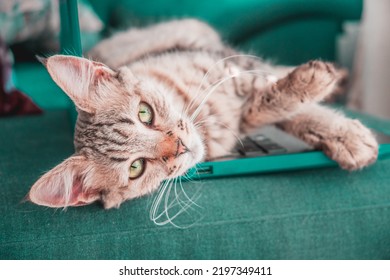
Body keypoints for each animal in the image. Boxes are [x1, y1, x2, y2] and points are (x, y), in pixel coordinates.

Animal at [27, 18, 378, 209]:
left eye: (144, 114)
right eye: (136, 168)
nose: (180, 146)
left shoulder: (236, 67)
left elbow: (284, 96)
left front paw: (341, 128)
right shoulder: (244, 115)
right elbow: (269, 107)